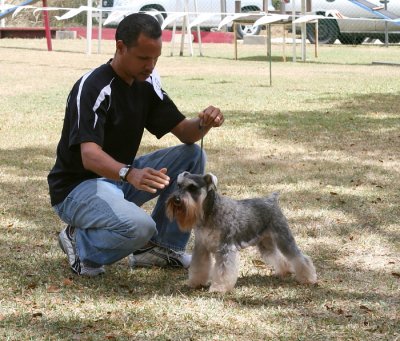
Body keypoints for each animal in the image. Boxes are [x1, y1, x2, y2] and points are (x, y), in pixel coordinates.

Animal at [165, 171, 316, 294]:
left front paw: (218, 288)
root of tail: (272, 200)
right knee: (278, 257)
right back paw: (284, 271)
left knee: (299, 257)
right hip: (266, 244)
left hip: (284, 238)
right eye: (178, 185)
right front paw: (195, 282)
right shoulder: (201, 247)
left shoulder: (225, 249)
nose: (176, 200)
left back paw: (308, 278)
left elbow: (222, 271)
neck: (209, 212)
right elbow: (199, 266)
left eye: (192, 187)